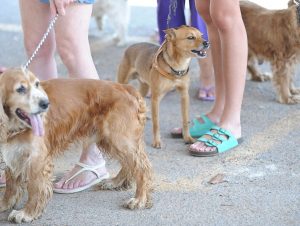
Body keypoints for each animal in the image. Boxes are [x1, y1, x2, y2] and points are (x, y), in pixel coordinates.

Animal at [0, 68, 152, 223]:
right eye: (20, 89)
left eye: (37, 84)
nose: (46, 104)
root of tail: (127, 88)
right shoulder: (12, 153)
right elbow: (11, 185)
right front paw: (5, 204)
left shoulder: (38, 158)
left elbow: (35, 187)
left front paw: (27, 213)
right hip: (110, 140)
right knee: (129, 164)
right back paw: (116, 182)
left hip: (119, 138)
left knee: (142, 168)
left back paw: (139, 199)